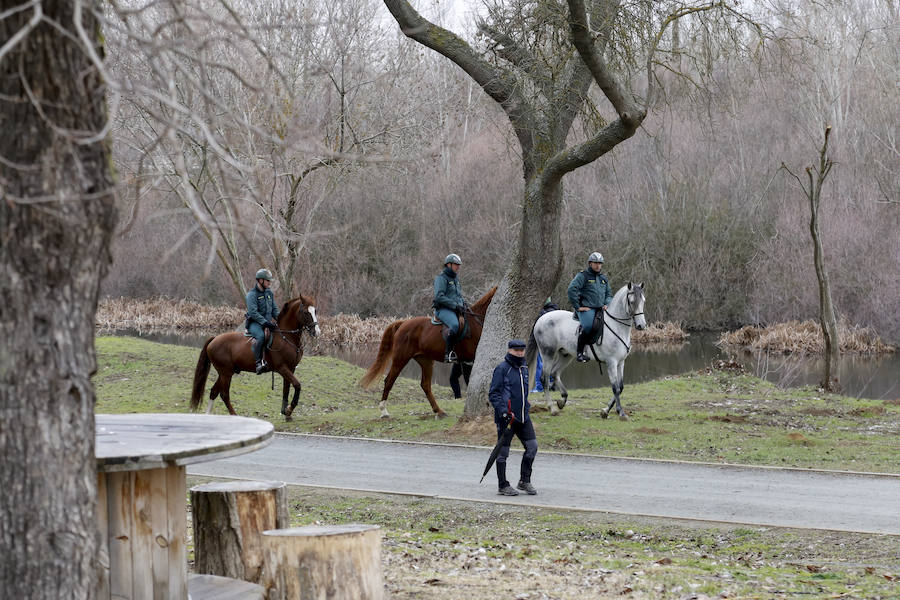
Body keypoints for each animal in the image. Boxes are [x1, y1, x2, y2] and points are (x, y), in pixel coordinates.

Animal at [190, 294, 320, 418]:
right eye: (306, 312)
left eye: (315, 311)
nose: (317, 332)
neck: (285, 337)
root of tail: (214, 339)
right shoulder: (282, 368)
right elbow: (297, 385)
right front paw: (289, 410)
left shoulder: (291, 368)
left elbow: (286, 389)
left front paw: (285, 412)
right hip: (225, 373)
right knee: (224, 394)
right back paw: (234, 415)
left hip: (225, 373)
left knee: (214, 391)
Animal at [360, 284, 500, 418]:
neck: (477, 323)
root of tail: (403, 323)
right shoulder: (468, 361)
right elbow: (469, 381)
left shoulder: (467, 361)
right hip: (401, 358)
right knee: (389, 380)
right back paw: (384, 411)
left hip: (426, 360)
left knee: (425, 385)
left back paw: (439, 411)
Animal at [528, 284, 648, 420]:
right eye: (632, 302)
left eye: (643, 301)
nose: (641, 326)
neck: (616, 326)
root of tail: (541, 318)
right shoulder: (611, 362)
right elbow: (615, 388)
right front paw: (621, 413)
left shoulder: (621, 362)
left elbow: (621, 387)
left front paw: (605, 411)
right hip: (547, 354)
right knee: (545, 378)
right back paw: (552, 408)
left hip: (565, 355)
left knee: (555, 373)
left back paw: (562, 400)